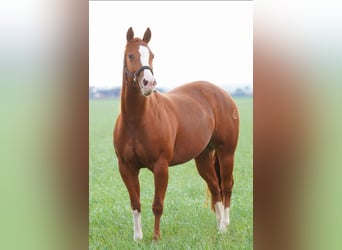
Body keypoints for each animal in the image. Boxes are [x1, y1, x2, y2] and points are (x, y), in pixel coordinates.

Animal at [113, 26, 239, 240]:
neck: (135, 122)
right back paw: (218, 226)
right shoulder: (126, 168)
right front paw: (137, 238)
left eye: (152, 55)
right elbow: (135, 203)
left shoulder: (161, 166)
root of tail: (222, 93)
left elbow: (157, 205)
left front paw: (156, 238)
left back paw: (224, 226)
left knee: (227, 186)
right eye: (130, 55)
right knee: (215, 187)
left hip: (227, 153)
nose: (148, 83)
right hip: (203, 158)